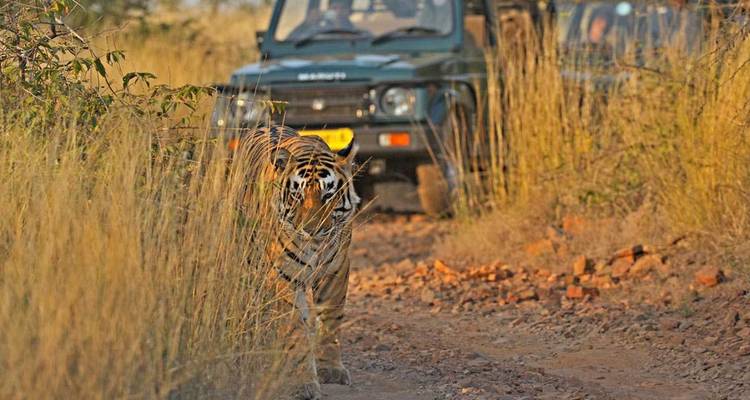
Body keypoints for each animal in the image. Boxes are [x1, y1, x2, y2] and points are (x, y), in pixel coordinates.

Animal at [237, 125, 360, 400]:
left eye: (328, 195)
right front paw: (301, 382)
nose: (312, 230)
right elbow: (295, 330)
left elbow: (331, 319)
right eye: (297, 195)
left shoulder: (336, 270)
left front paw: (330, 370)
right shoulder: (284, 275)